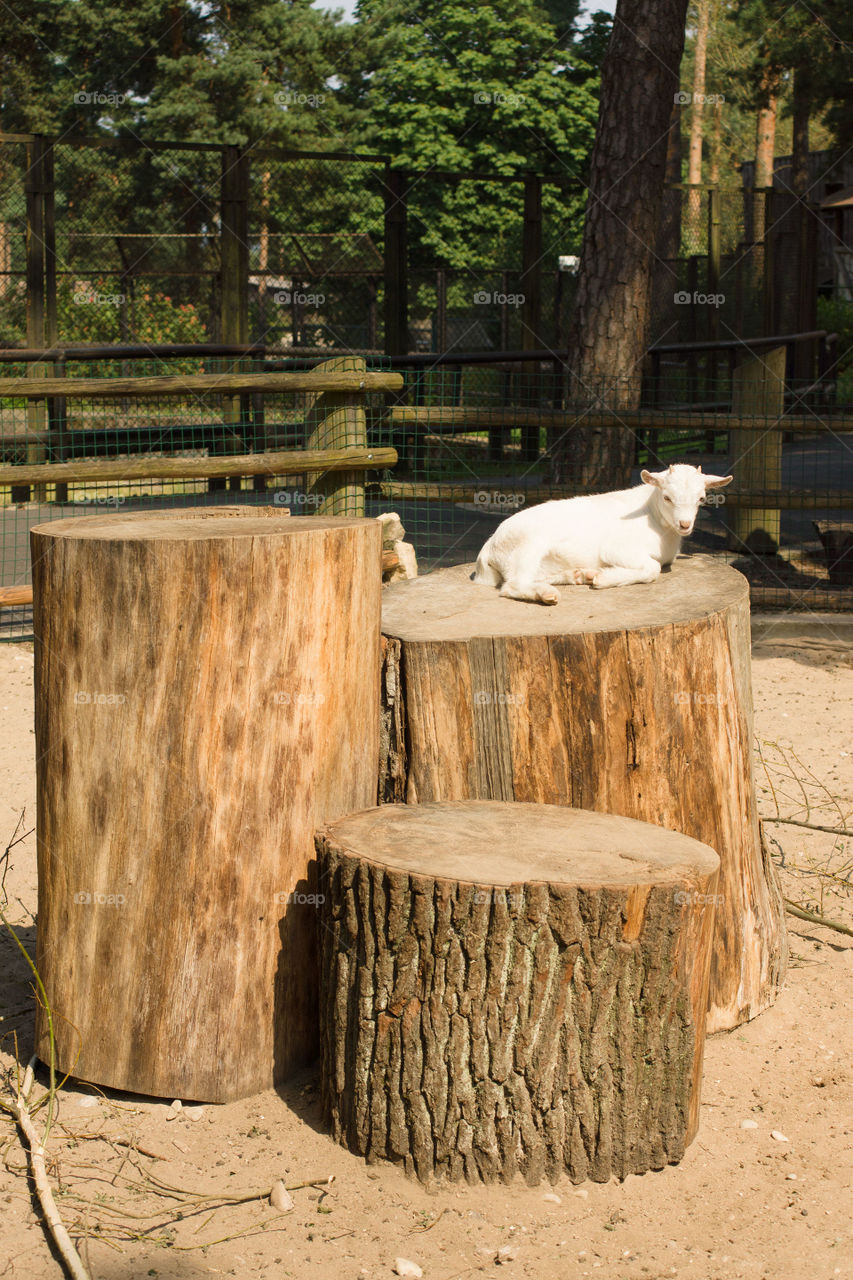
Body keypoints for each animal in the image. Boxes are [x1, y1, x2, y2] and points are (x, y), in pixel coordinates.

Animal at [471, 463, 733, 604]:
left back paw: (578, 575)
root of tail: (488, 547)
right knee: (512, 585)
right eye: (667, 497)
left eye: (701, 498)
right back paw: (548, 593)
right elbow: (653, 568)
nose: (685, 524)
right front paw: (604, 579)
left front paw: (596, 576)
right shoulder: (616, 547)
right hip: (528, 544)